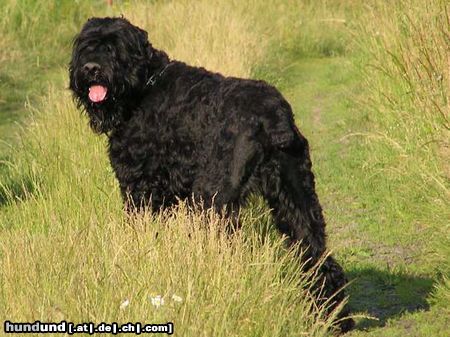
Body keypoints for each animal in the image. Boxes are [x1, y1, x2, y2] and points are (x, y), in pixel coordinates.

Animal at [68, 17, 354, 330]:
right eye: (86, 46)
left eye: (113, 47)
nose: (91, 68)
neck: (144, 87)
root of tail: (274, 117)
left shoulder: (140, 191)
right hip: (296, 198)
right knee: (318, 255)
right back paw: (334, 317)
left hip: (211, 199)